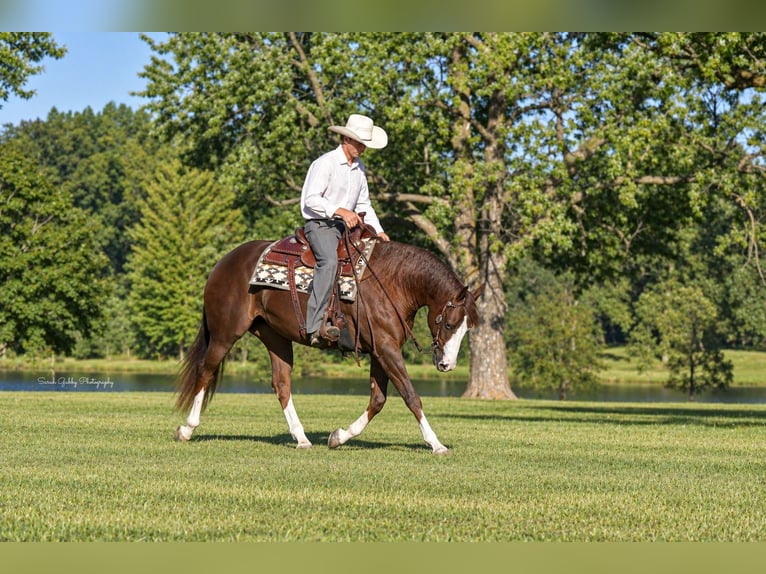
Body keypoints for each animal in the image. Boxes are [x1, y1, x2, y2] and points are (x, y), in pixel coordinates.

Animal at [174, 234, 482, 454]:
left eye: (467, 328)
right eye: (449, 324)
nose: (447, 364)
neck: (392, 281)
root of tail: (222, 263)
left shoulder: (380, 350)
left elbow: (378, 400)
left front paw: (339, 436)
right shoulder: (386, 348)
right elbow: (410, 395)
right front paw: (436, 443)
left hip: (275, 337)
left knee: (281, 384)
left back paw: (301, 438)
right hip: (225, 334)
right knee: (205, 371)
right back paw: (187, 429)